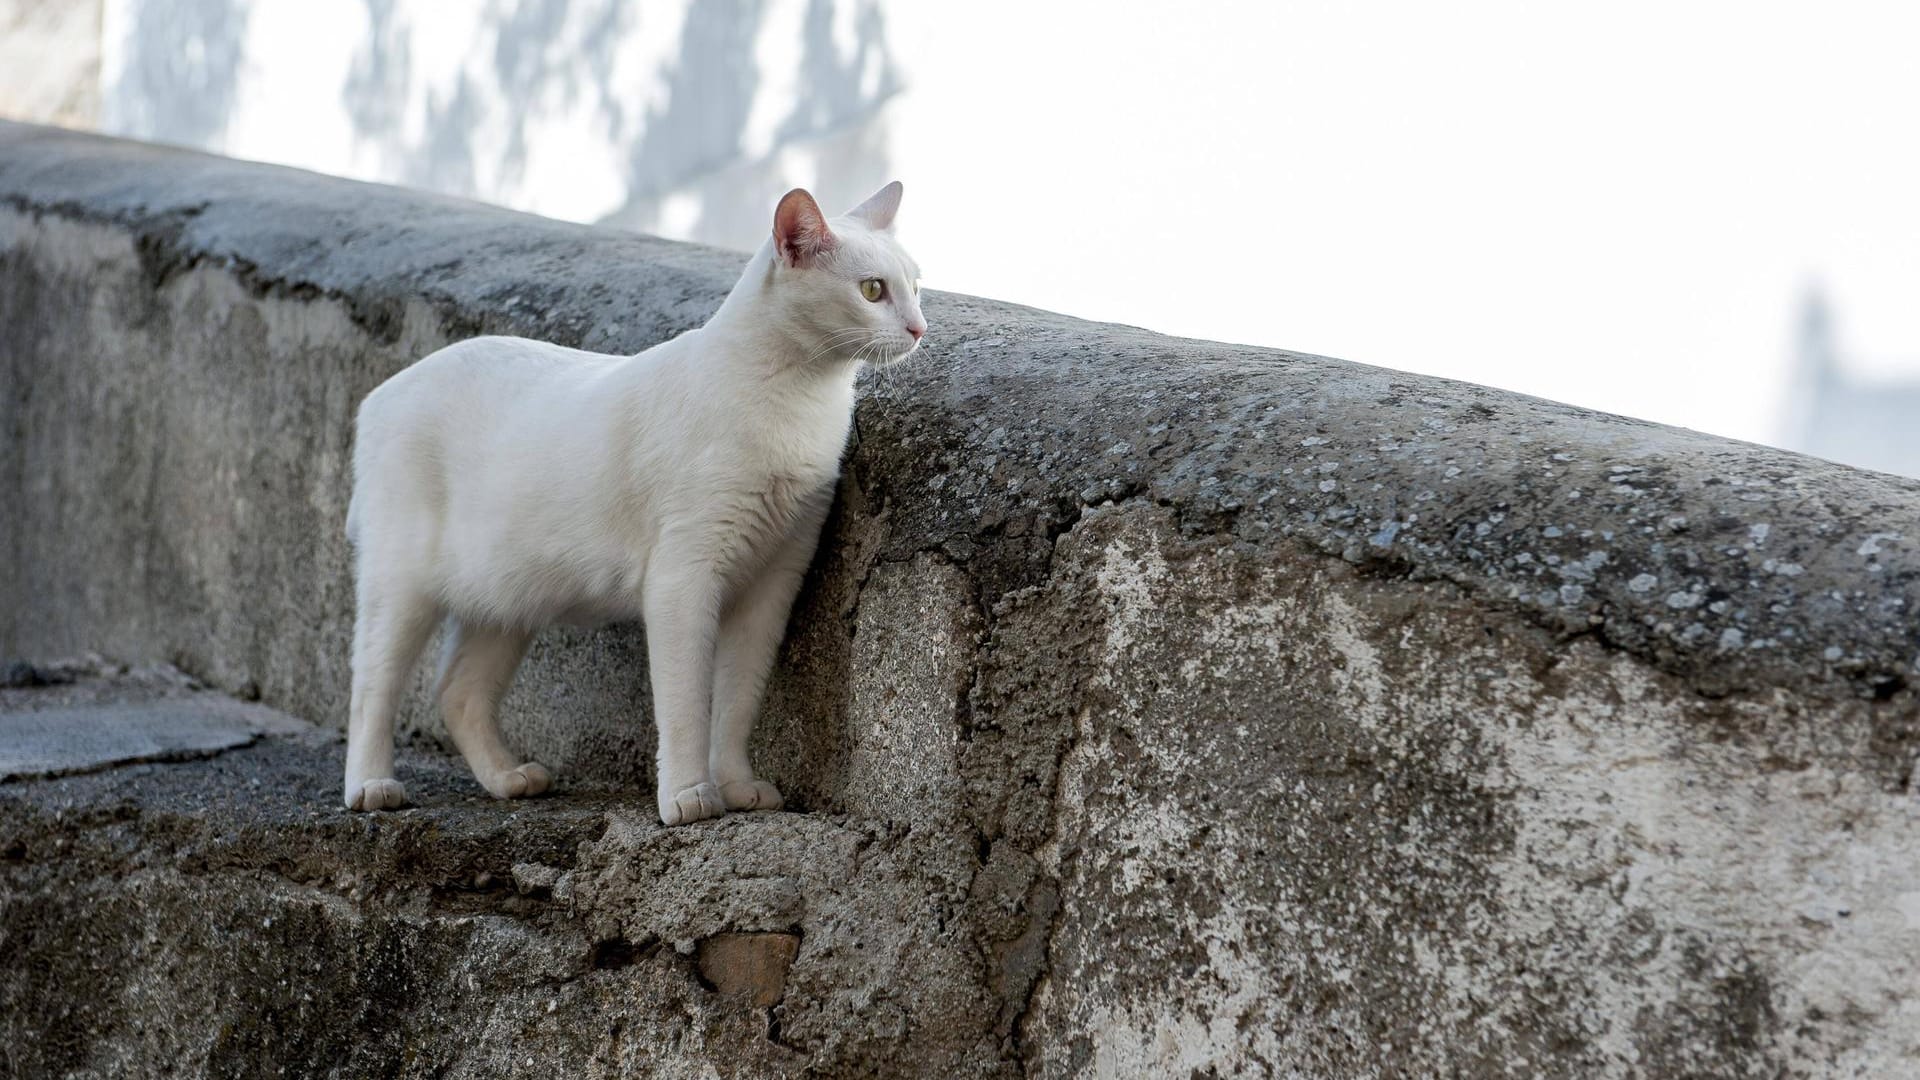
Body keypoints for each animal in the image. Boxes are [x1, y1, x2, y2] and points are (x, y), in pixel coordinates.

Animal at [347, 180, 929, 818]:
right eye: (872, 290)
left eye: (917, 286)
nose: (920, 328)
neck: (800, 401)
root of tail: (382, 392)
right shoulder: (683, 578)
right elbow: (686, 703)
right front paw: (689, 796)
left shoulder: (774, 581)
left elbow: (736, 700)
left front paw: (735, 785)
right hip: (401, 584)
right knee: (371, 683)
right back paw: (370, 786)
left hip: (506, 597)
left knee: (458, 692)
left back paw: (507, 778)